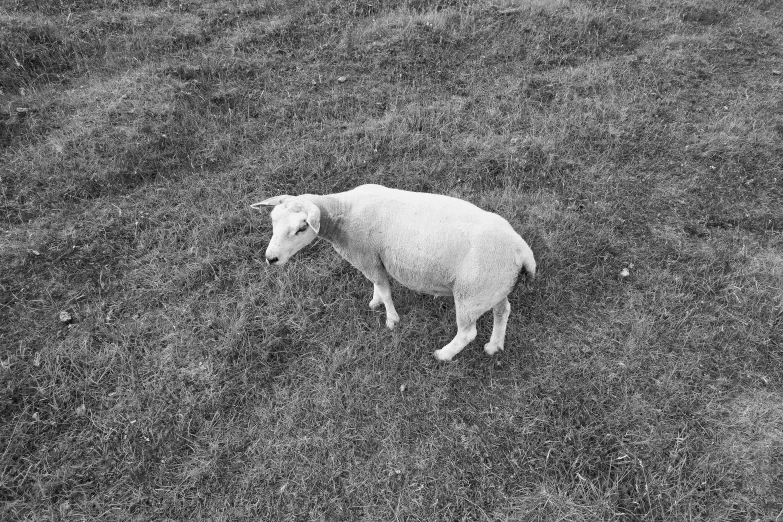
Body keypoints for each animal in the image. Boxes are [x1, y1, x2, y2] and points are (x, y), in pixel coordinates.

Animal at [254, 185, 536, 360]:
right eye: (272, 221)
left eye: (302, 228)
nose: (271, 259)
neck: (343, 212)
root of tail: (522, 251)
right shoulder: (371, 261)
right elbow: (377, 287)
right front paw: (375, 301)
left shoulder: (368, 258)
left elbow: (385, 290)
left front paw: (391, 320)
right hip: (493, 286)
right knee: (503, 311)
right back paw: (494, 346)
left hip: (471, 292)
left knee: (468, 332)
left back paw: (444, 354)